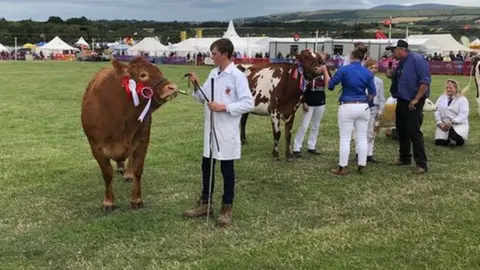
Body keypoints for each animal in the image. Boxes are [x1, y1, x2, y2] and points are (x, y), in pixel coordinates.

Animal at [81, 57, 179, 212]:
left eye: (159, 72)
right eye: (143, 75)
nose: (173, 87)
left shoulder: (143, 140)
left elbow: (138, 170)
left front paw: (136, 199)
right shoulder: (96, 146)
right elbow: (107, 174)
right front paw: (108, 202)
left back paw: (127, 173)